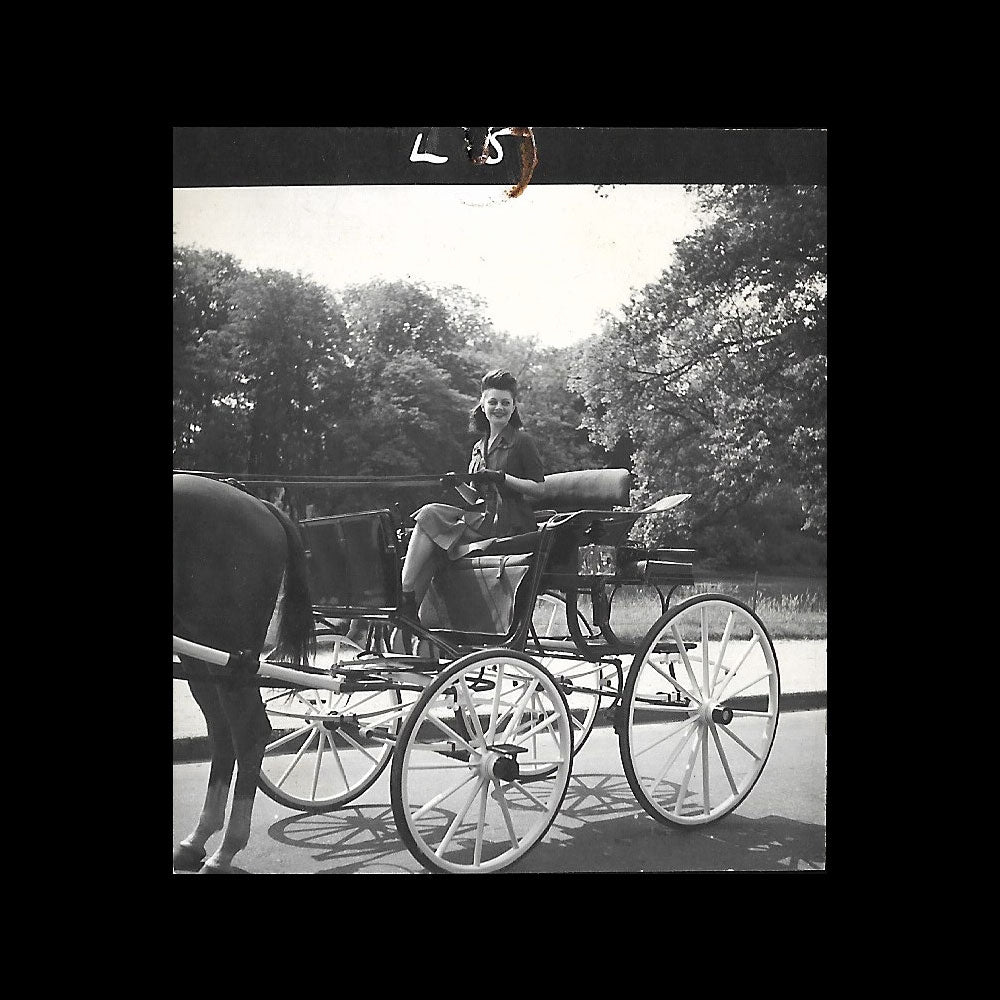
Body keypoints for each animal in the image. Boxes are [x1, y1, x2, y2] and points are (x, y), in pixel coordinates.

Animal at [171, 472, 312, 872]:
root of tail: (258, 503)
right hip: (204, 650)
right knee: (222, 729)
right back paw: (199, 838)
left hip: (231, 651)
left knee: (248, 730)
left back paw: (226, 848)